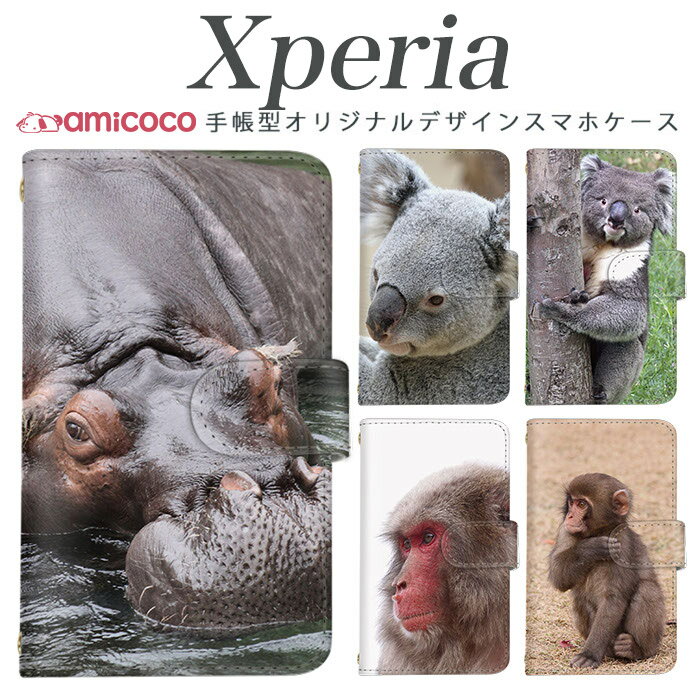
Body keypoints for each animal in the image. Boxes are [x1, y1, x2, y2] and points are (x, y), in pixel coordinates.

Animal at [548, 473, 666, 669]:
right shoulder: (567, 531)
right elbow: (559, 576)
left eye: (582, 504)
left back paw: (635, 650)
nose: (570, 516)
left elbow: (613, 598)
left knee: (647, 590)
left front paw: (589, 654)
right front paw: (592, 547)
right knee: (580, 598)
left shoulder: (622, 545)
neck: (599, 531)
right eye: (571, 502)